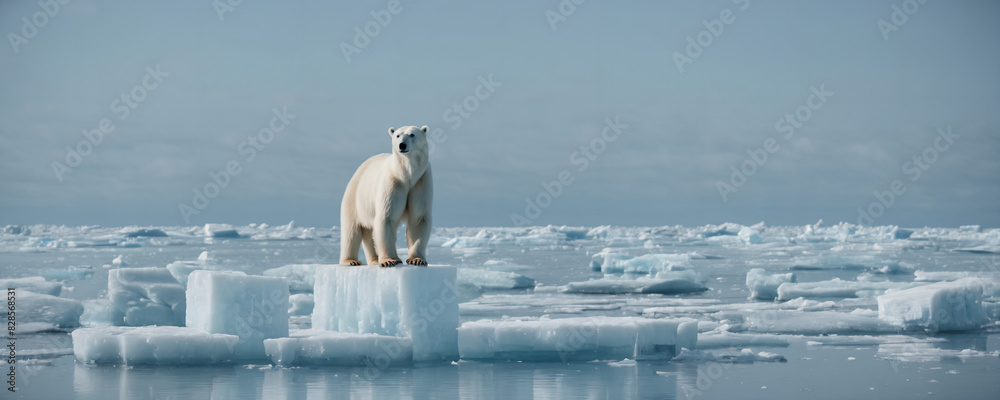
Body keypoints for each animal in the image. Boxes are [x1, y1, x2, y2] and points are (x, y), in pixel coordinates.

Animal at [342, 126, 432, 268]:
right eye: (397, 135)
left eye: (412, 134)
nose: (402, 145)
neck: (406, 175)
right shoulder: (392, 182)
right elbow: (387, 217)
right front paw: (388, 261)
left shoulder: (421, 182)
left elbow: (418, 218)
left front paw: (417, 259)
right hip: (354, 197)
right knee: (351, 231)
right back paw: (351, 261)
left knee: (369, 232)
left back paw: (377, 259)